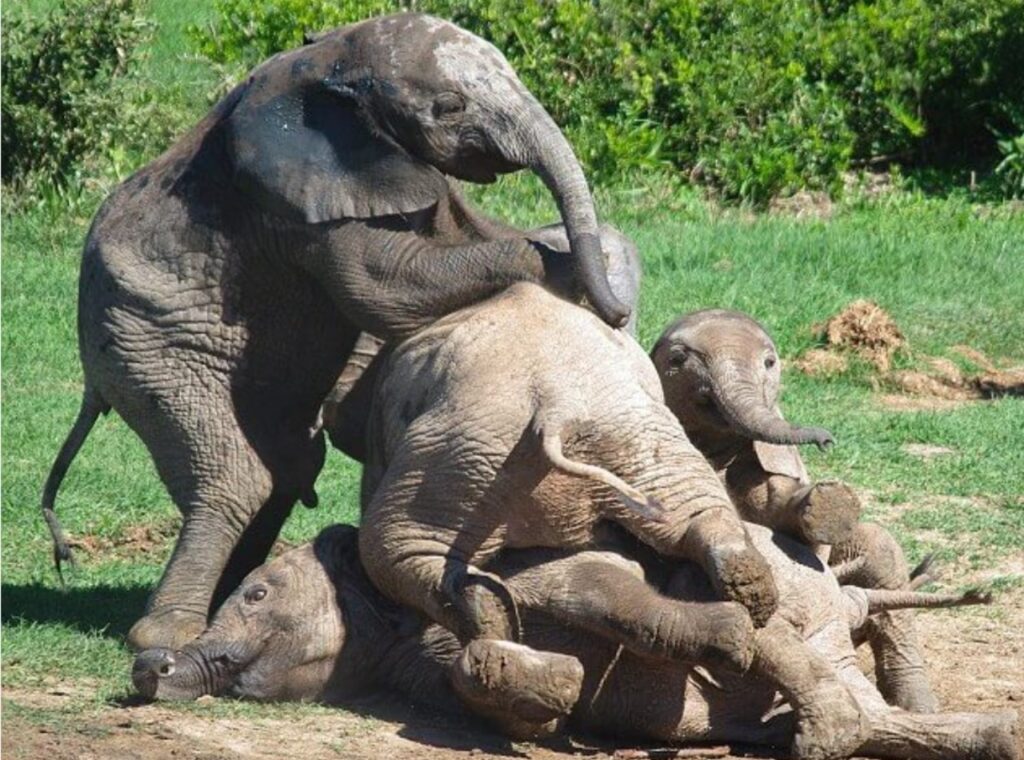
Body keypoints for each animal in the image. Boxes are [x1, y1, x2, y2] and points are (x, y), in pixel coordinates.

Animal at [41, 10, 630, 655]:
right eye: (449, 106)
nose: (618, 317)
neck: (337, 56)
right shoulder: (300, 196)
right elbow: (383, 282)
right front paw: (567, 267)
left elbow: (456, 235)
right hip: (142, 339)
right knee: (235, 474)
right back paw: (166, 634)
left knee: (289, 464)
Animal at [128, 524, 1007, 760]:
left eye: (256, 593)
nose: (148, 667)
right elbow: (476, 673)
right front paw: (554, 699)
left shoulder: (525, 566)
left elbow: (607, 593)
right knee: (874, 714)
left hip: (805, 589)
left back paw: (830, 729)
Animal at [655, 309, 942, 712]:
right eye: (678, 359)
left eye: (770, 362)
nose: (826, 440)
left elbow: (779, 507)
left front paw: (827, 504)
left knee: (881, 549)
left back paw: (919, 706)